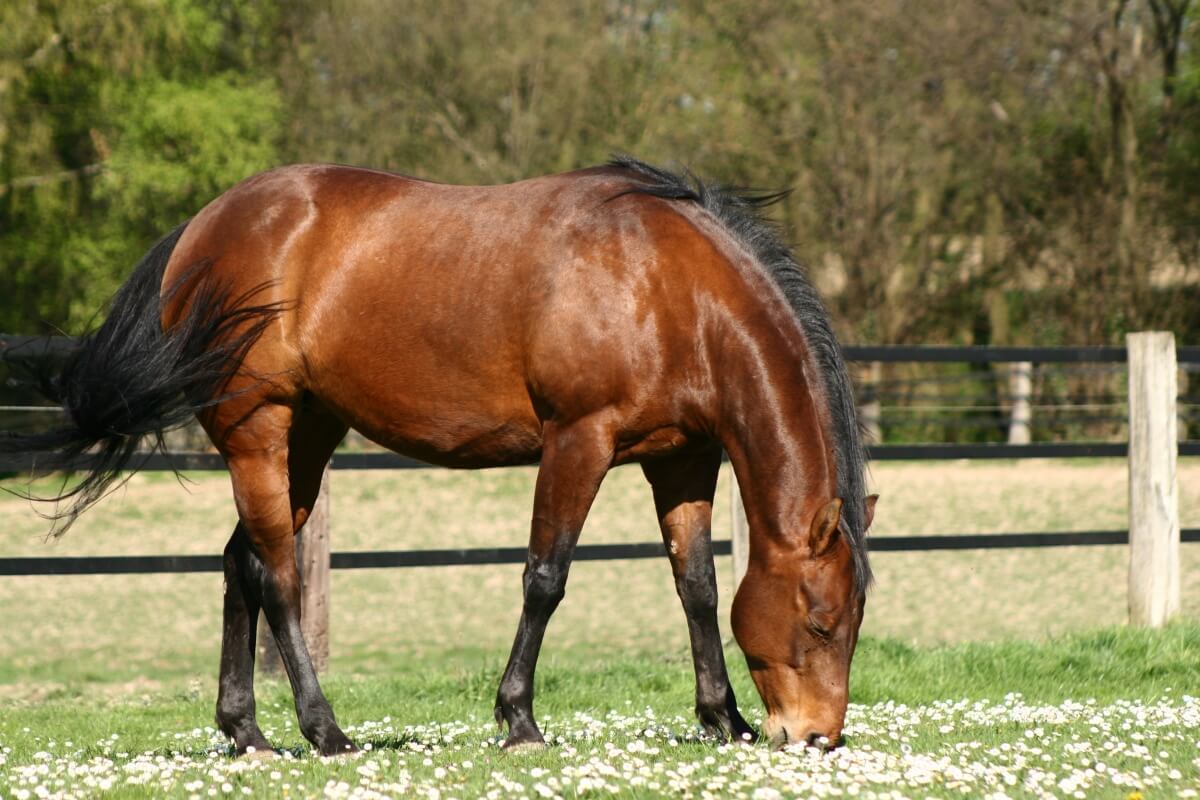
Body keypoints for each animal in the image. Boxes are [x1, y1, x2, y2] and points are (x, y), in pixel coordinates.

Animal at [4, 156, 877, 755]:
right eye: (823, 621)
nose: (816, 735)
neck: (665, 284)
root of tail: (204, 226)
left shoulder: (683, 459)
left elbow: (696, 588)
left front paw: (722, 716)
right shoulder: (578, 440)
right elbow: (545, 577)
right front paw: (518, 717)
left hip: (309, 436)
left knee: (240, 565)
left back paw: (246, 730)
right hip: (258, 431)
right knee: (278, 575)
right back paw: (324, 730)